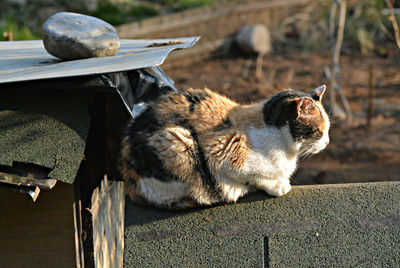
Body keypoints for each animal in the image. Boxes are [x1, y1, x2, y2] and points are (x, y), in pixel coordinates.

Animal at [120, 85, 330, 208]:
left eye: (328, 129)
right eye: (319, 131)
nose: (327, 141)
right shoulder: (225, 155)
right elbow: (256, 178)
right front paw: (277, 186)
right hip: (177, 142)